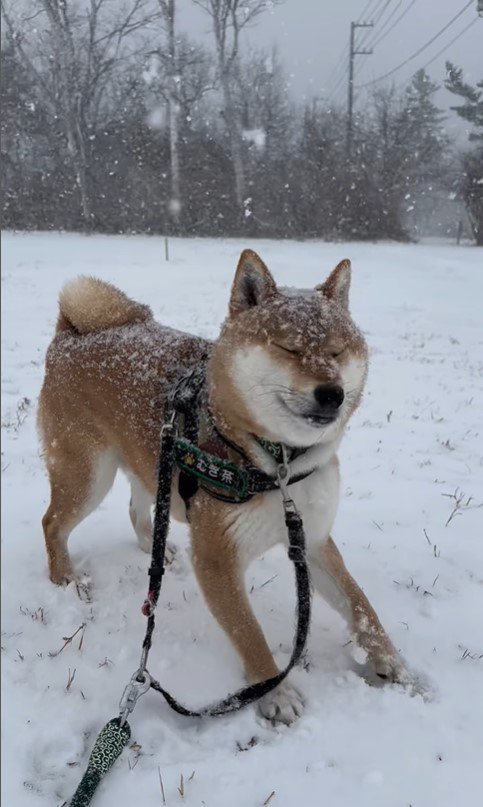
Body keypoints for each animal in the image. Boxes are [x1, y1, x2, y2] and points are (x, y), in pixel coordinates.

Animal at [37, 249, 410, 724]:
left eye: (337, 350)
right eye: (287, 348)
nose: (333, 393)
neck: (277, 465)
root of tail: (71, 332)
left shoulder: (313, 539)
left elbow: (361, 606)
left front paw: (392, 663)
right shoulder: (217, 559)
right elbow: (249, 632)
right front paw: (275, 692)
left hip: (150, 463)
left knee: (139, 509)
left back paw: (154, 549)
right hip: (87, 477)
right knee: (52, 524)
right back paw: (65, 578)